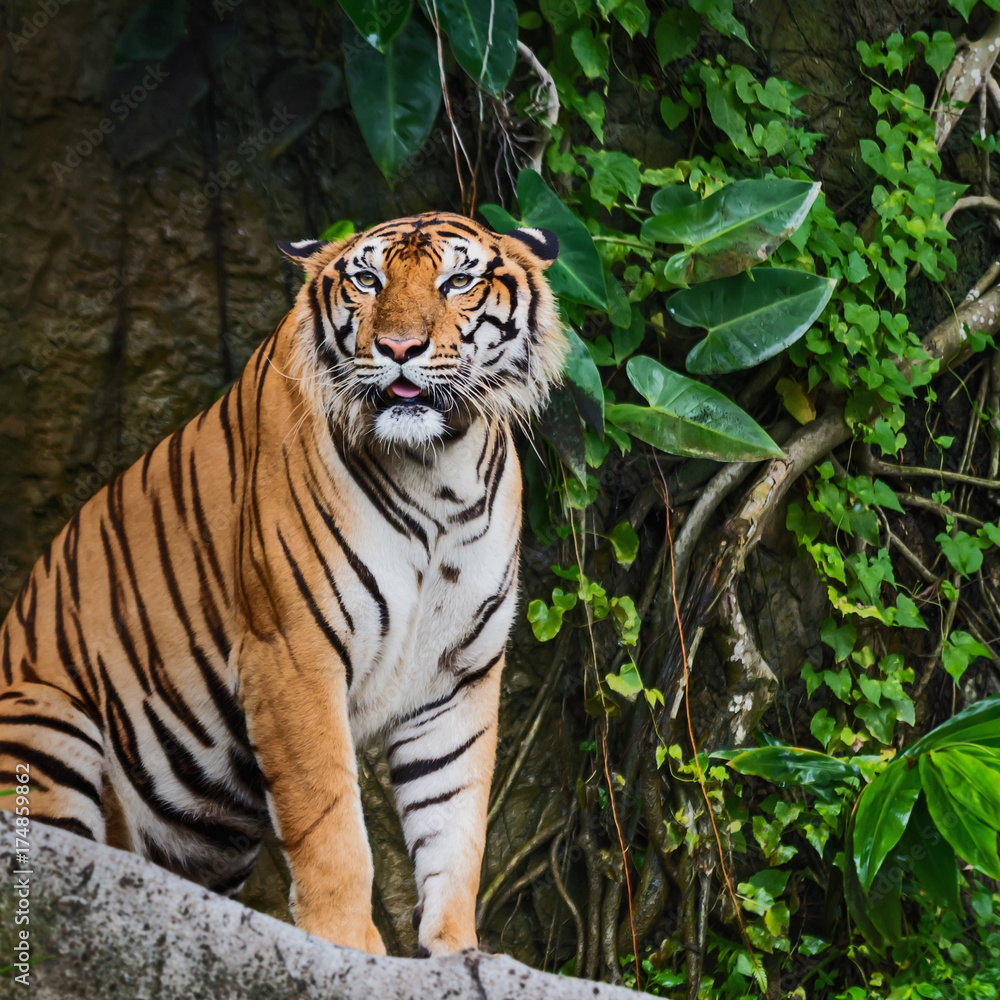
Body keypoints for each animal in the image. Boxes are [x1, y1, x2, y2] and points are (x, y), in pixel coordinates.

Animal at [0, 212, 564, 957]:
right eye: (367, 279)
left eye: (458, 281)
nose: (399, 348)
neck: (440, 467)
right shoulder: (294, 653)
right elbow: (331, 822)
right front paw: (348, 947)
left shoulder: (458, 676)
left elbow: (454, 825)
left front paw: (455, 951)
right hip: (49, 725)